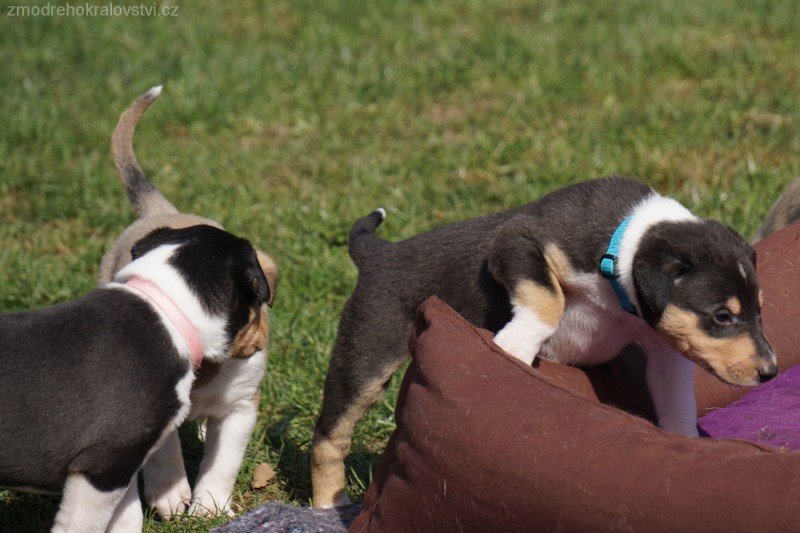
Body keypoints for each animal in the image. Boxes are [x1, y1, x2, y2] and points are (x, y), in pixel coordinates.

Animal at [0, 224, 272, 532]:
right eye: (260, 296)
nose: (263, 341)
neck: (167, 310)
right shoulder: (104, 462)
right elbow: (86, 522)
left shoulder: (124, 461)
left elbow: (125, 512)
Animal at [99, 86, 280, 516]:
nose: (259, 345)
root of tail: (164, 212)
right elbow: (164, 450)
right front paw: (171, 497)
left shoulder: (240, 408)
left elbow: (223, 461)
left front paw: (208, 508)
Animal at [310, 176, 776, 508]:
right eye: (721, 316)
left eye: (759, 310)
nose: (770, 372)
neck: (623, 246)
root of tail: (377, 254)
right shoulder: (517, 243)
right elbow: (549, 298)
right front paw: (514, 346)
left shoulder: (666, 349)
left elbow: (677, 407)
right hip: (364, 356)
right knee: (330, 436)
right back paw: (327, 504)